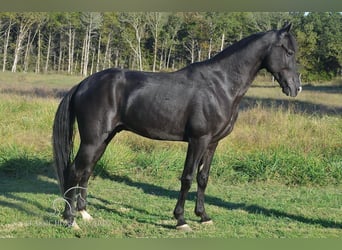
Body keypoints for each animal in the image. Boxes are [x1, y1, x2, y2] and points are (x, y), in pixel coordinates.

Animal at [52, 23, 300, 230]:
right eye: (289, 52)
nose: (296, 87)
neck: (220, 85)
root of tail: (84, 83)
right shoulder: (198, 140)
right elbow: (187, 177)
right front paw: (181, 219)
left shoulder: (213, 143)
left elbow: (203, 178)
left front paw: (203, 216)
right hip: (92, 140)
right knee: (75, 171)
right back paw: (70, 219)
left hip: (104, 139)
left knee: (86, 171)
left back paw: (84, 213)